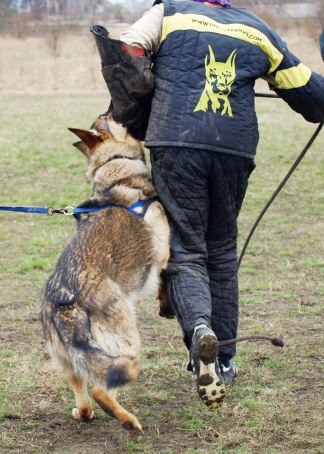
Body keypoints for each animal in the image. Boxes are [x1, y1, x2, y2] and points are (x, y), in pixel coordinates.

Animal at [40, 111, 170, 434]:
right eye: (108, 117)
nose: (118, 111)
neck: (114, 166)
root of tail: (64, 302)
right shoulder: (163, 249)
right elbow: (164, 276)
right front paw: (165, 304)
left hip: (70, 360)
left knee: (85, 395)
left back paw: (84, 414)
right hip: (126, 344)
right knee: (102, 388)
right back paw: (127, 421)